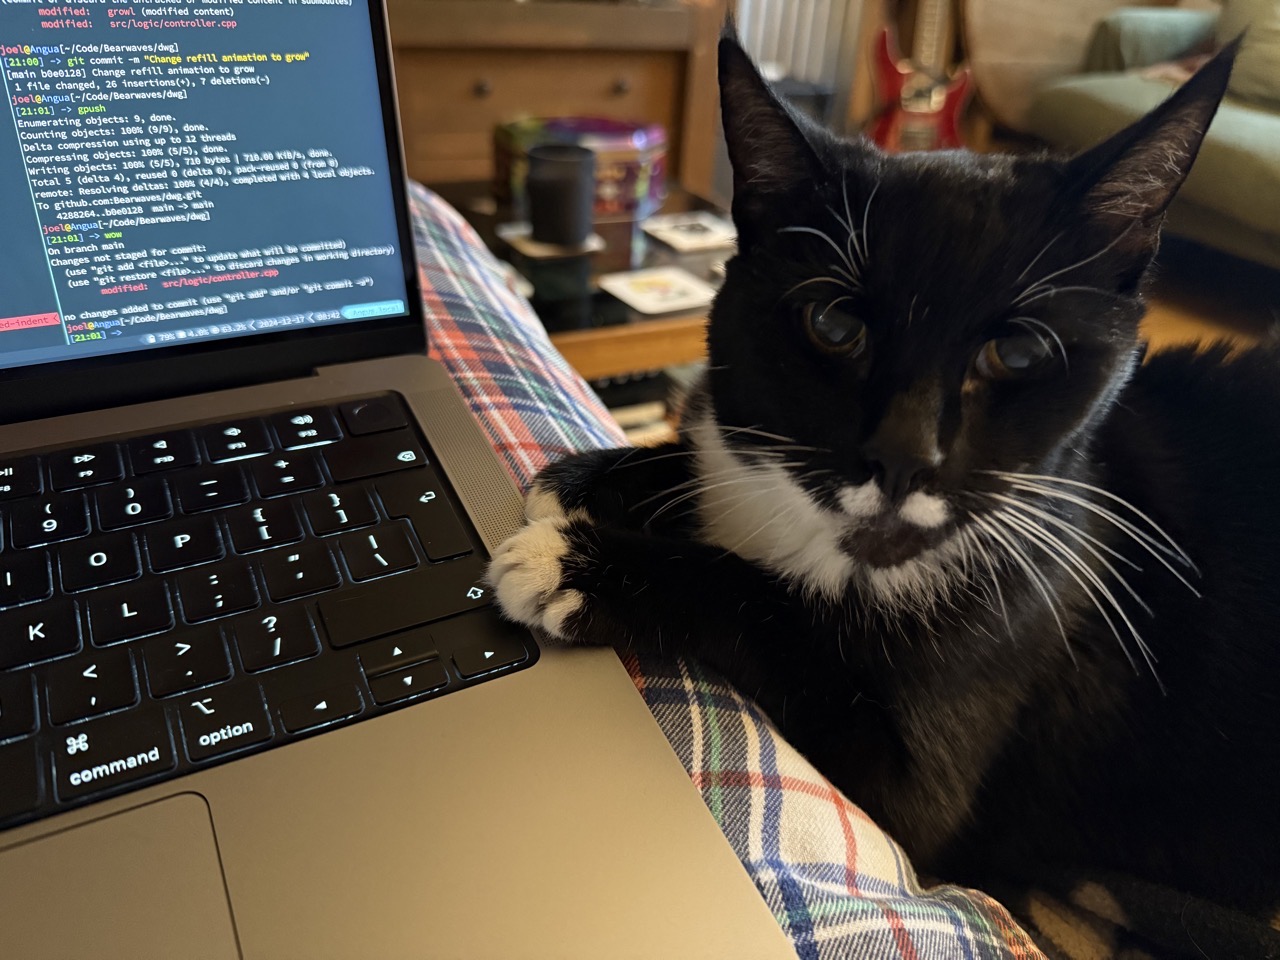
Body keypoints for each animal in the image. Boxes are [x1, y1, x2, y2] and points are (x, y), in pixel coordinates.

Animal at [483, 35, 1274, 931]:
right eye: (834, 324)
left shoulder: (930, 764)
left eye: (1019, 353)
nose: (903, 456)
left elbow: (774, 614)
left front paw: (580, 562)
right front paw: (595, 473)